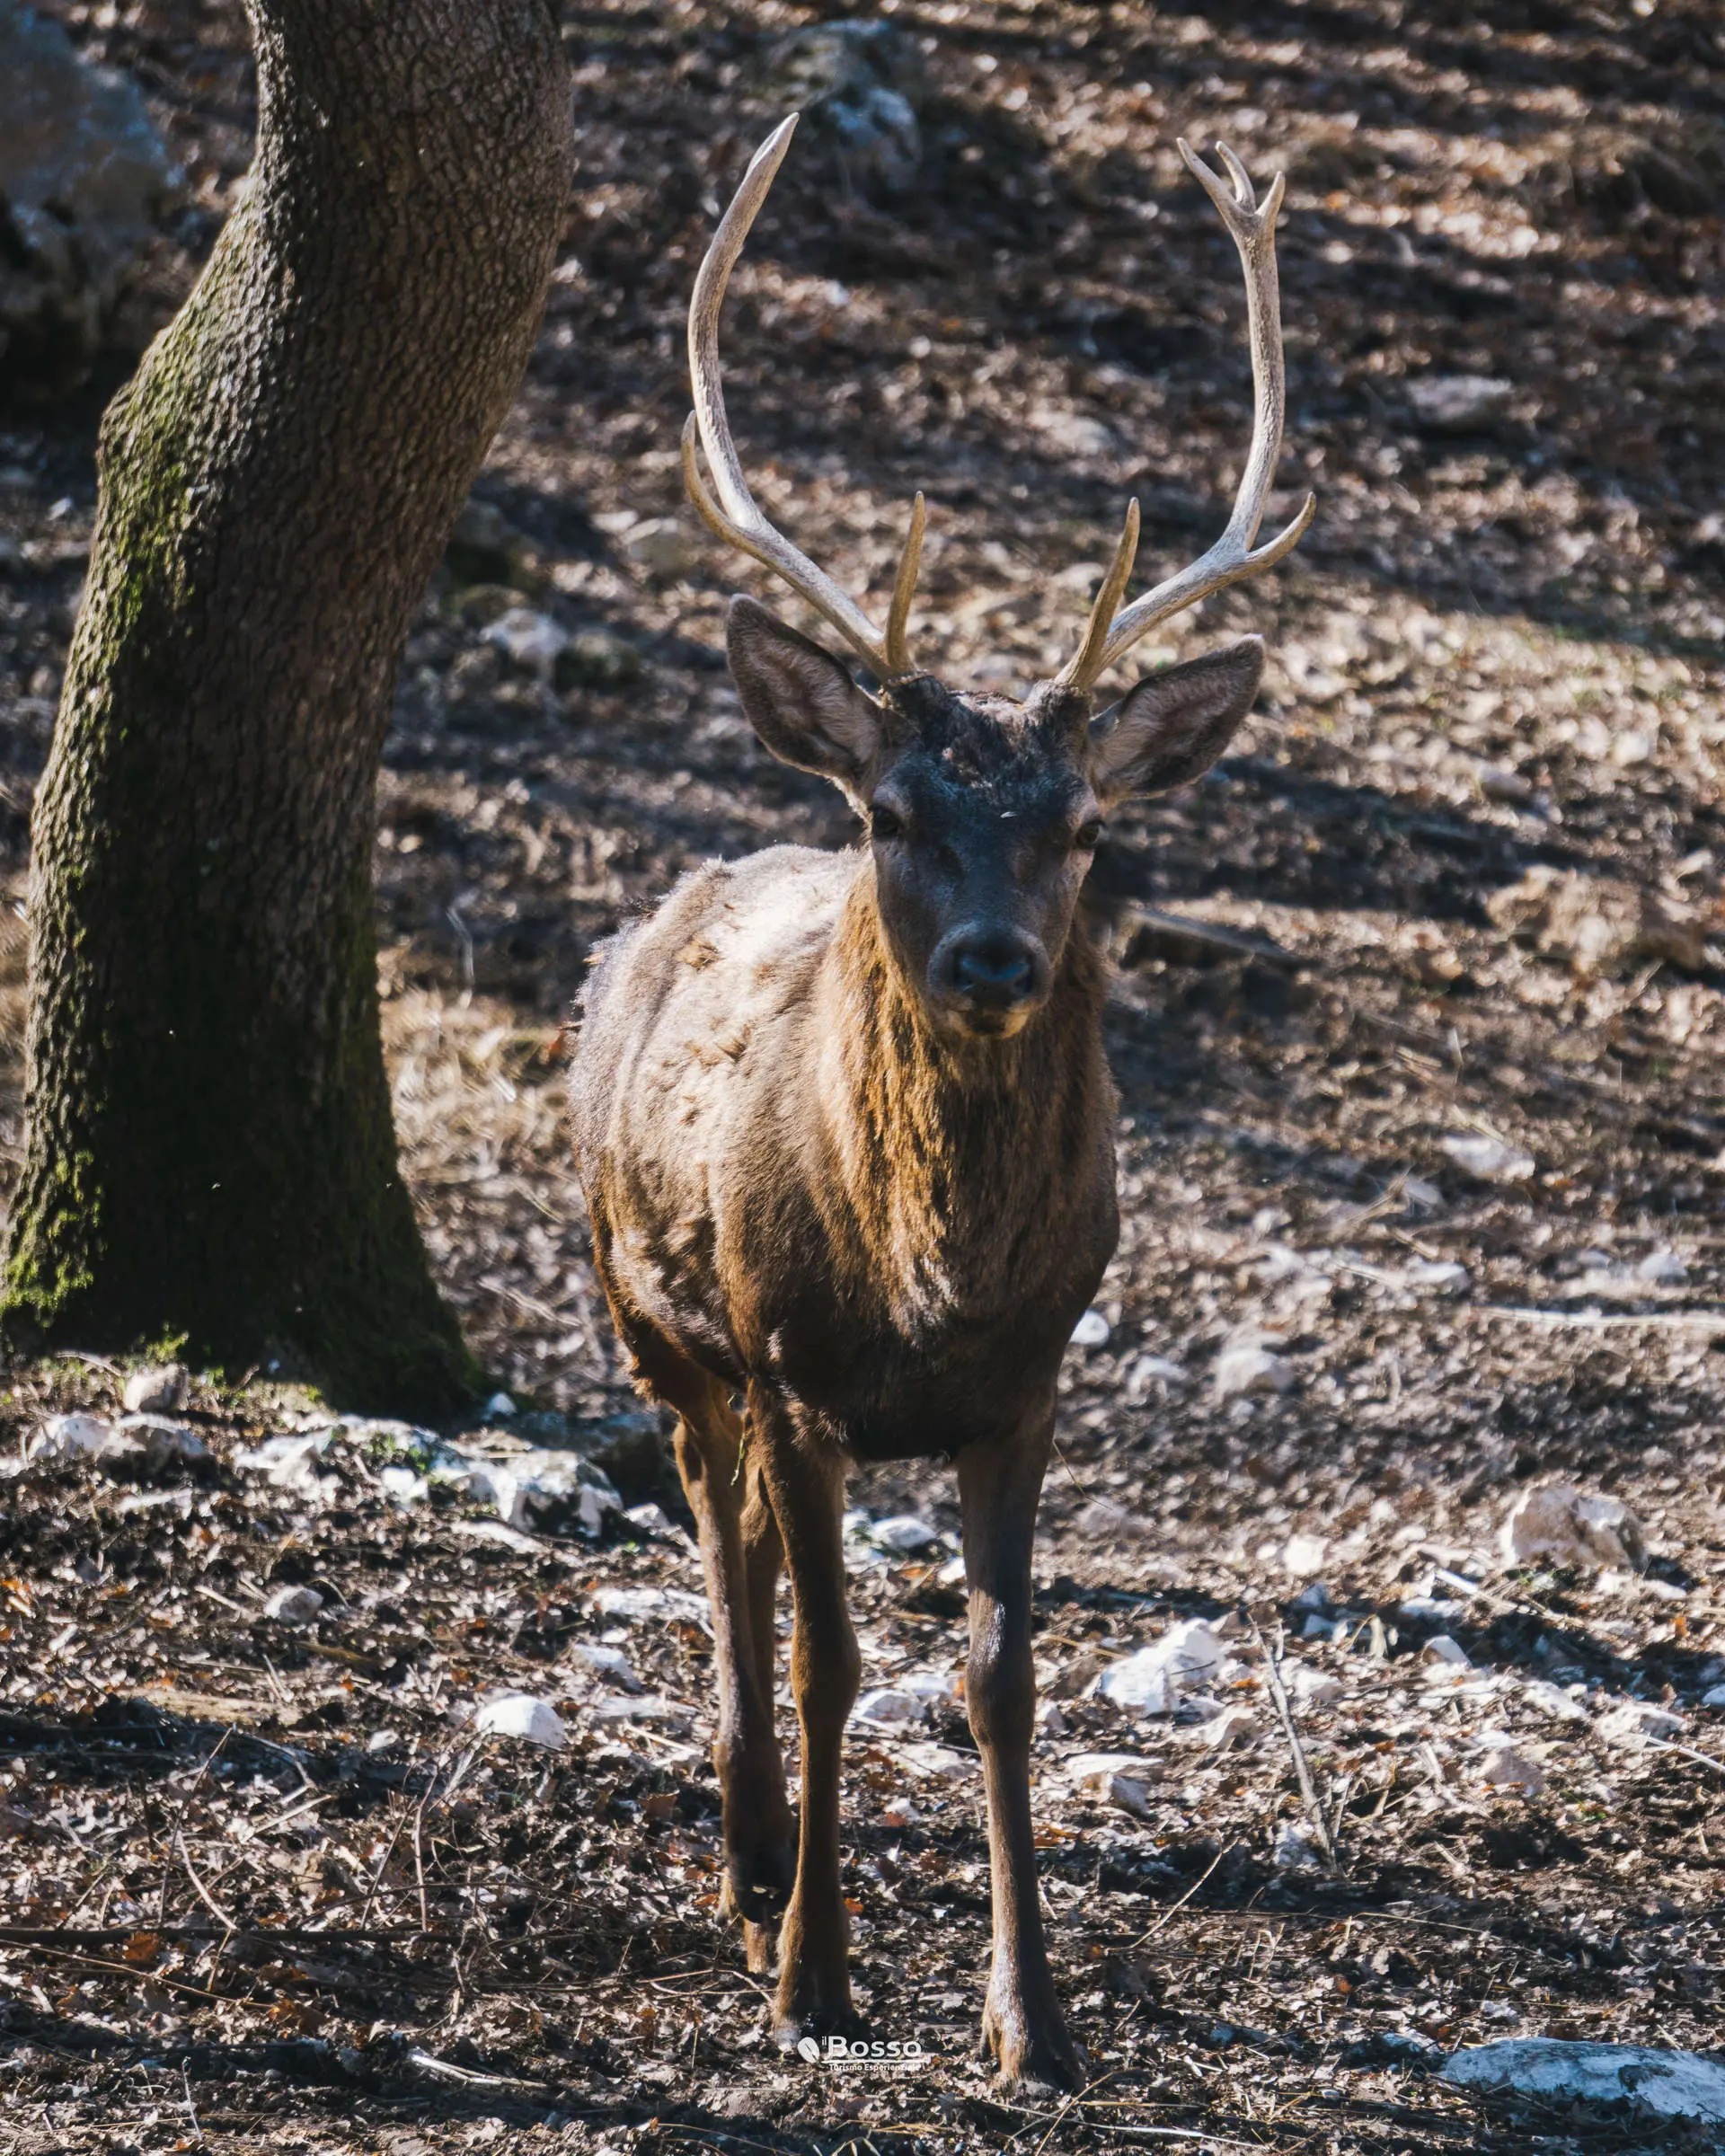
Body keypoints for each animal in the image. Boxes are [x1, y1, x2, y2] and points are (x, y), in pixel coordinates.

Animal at [569, 114, 1313, 2092]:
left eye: (1084, 826)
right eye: (897, 811)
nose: (991, 956)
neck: (932, 1286)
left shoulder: (1033, 1381)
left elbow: (1001, 1678)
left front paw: (1032, 2018)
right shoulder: (792, 1358)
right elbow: (834, 1658)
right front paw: (816, 1982)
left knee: (747, 1550)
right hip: (659, 1323)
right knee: (727, 1554)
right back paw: (751, 1870)